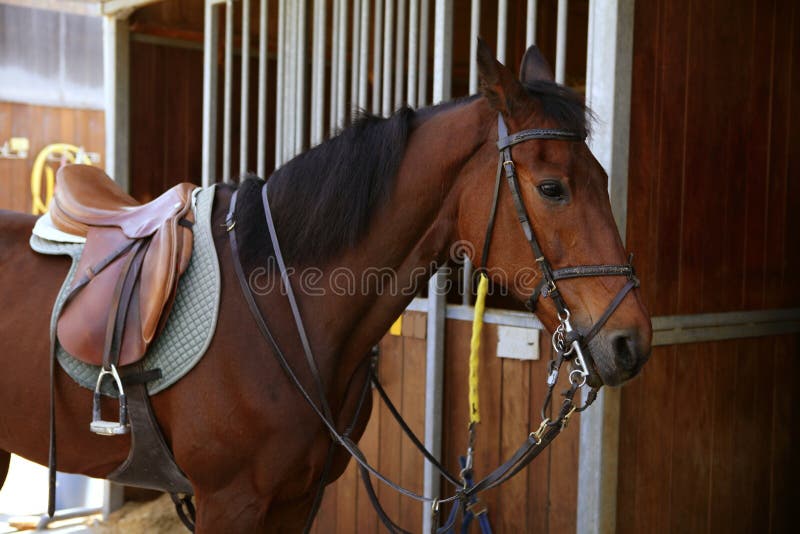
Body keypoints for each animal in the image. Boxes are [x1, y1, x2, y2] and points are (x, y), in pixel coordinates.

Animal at [0, 44, 648, 532]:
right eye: (552, 188)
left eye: (603, 177)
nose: (631, 343)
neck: (280, 307)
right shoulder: (228, 504)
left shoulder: (295, 500)